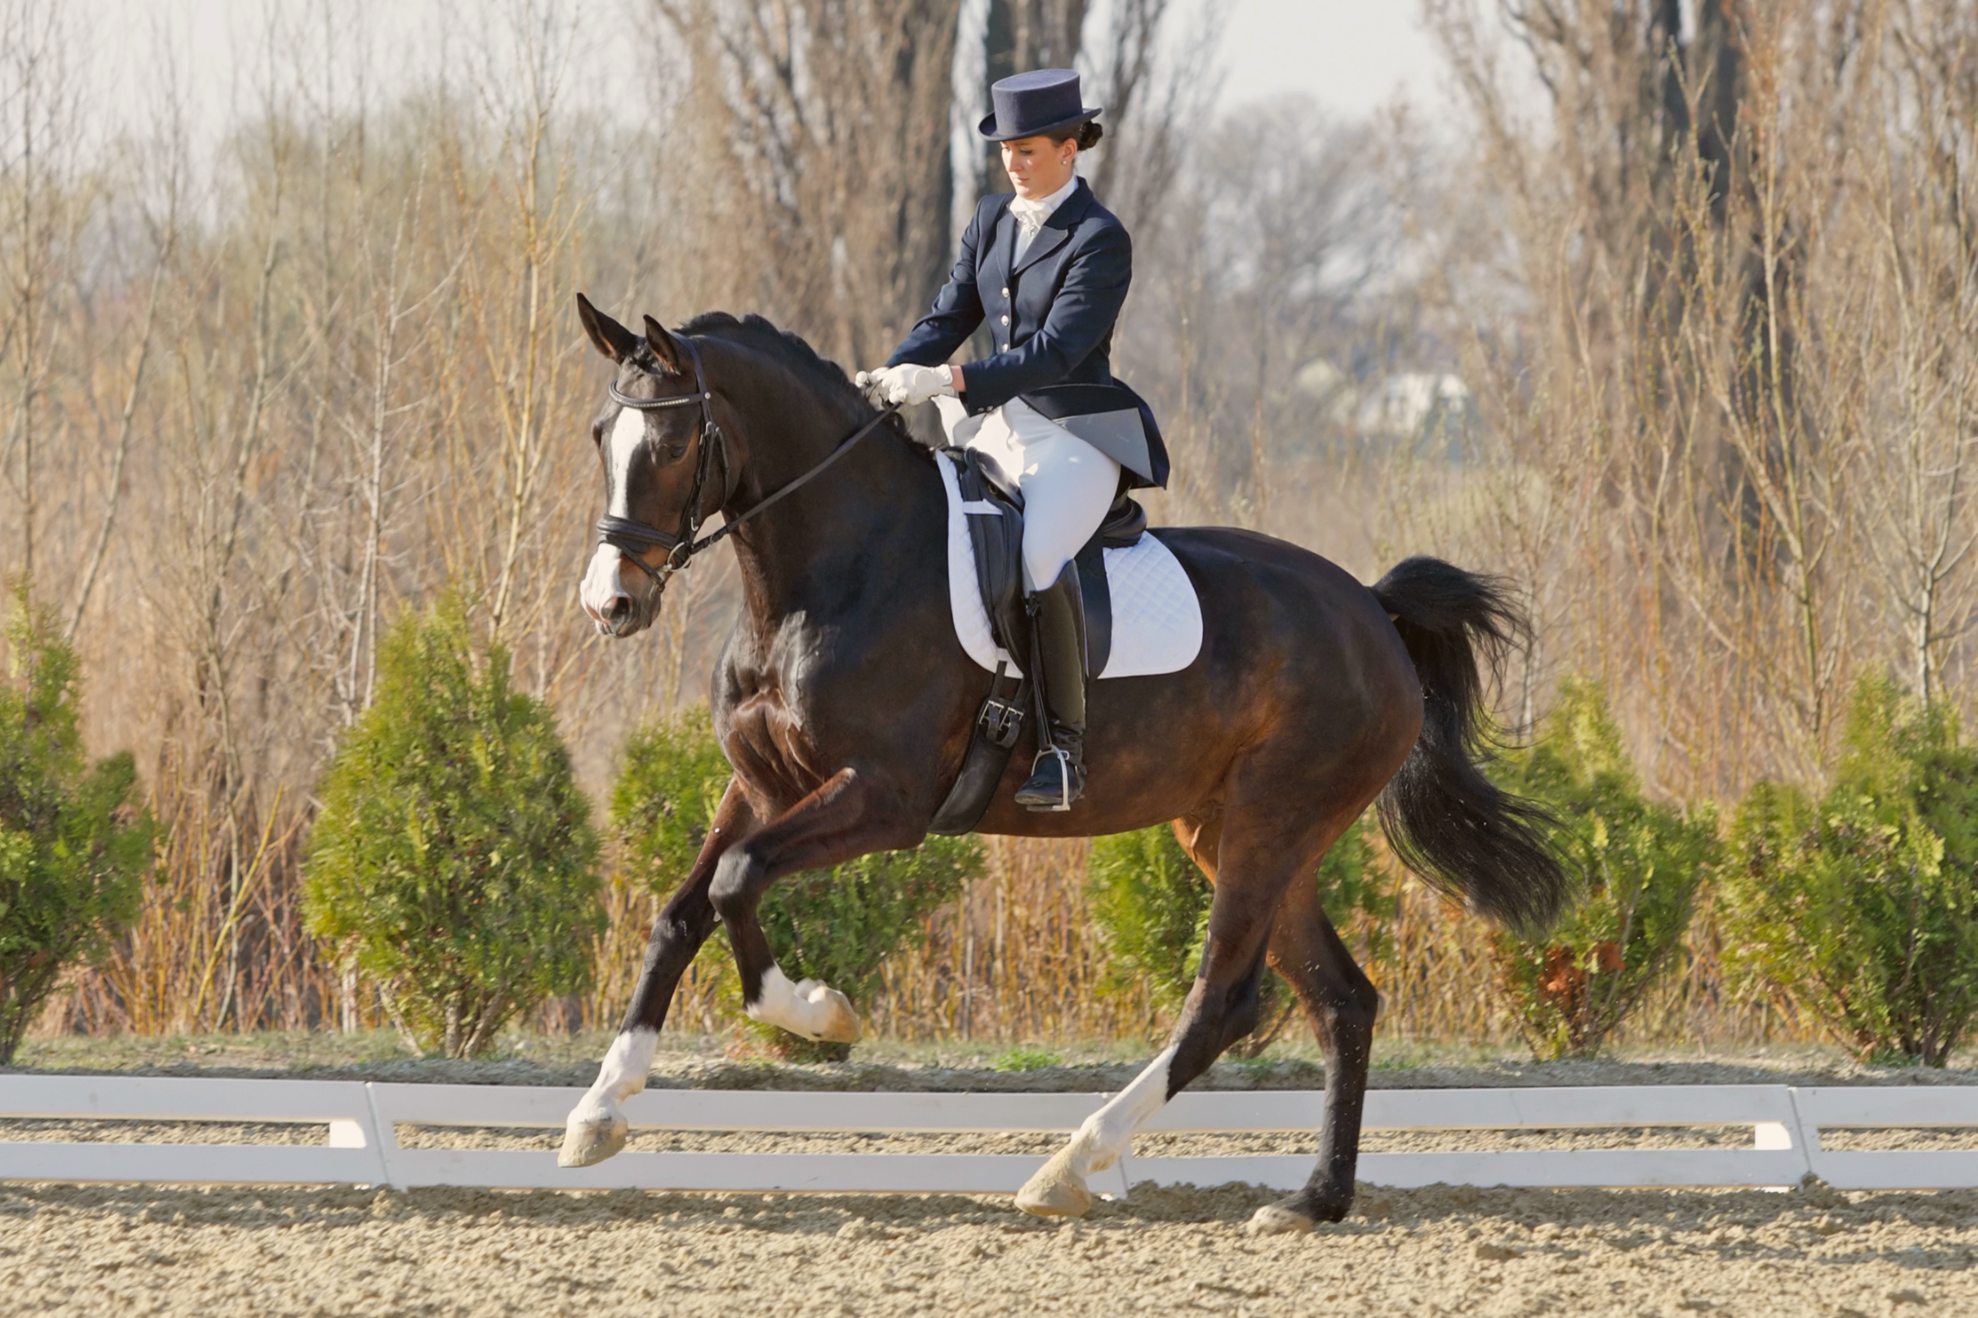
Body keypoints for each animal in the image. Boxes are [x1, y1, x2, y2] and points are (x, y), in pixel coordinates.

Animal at [559, 297, 1566, 1233]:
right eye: (602, 436)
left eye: (675, 443)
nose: (612, 605)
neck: (832, 568)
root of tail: (1370, 609)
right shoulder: (763, 786)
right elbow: (681, 914)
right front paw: (599, 1111)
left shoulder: (884, 800)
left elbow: (737, 880)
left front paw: (818, 1010)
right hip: (1233, 832)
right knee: (1342, 1002)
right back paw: (1313, 1200)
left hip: (1271, 825)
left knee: (1225, 1000)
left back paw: (1074, 1165)